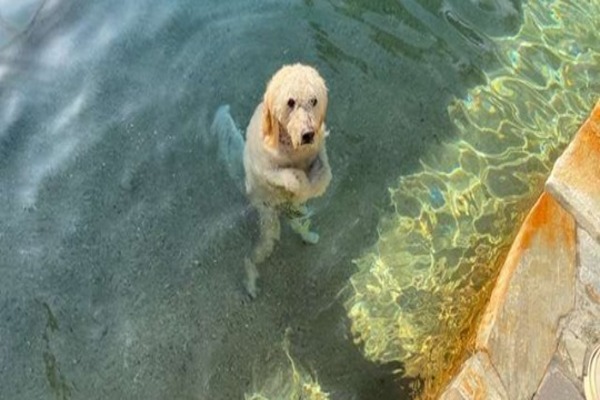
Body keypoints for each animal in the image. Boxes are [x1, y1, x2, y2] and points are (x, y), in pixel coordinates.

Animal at [241, 64, 330, 296]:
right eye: (290, 102)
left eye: (314, 100)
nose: (308, 134)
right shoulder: (265, 167)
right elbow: (289, 175)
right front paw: (302, 185)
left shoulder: (319, 150)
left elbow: (324, 173)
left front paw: (313, 185)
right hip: (268, 218)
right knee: (256, 253)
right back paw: (250, 283)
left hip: (291, 216)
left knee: (299, 225)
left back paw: (309, 235)